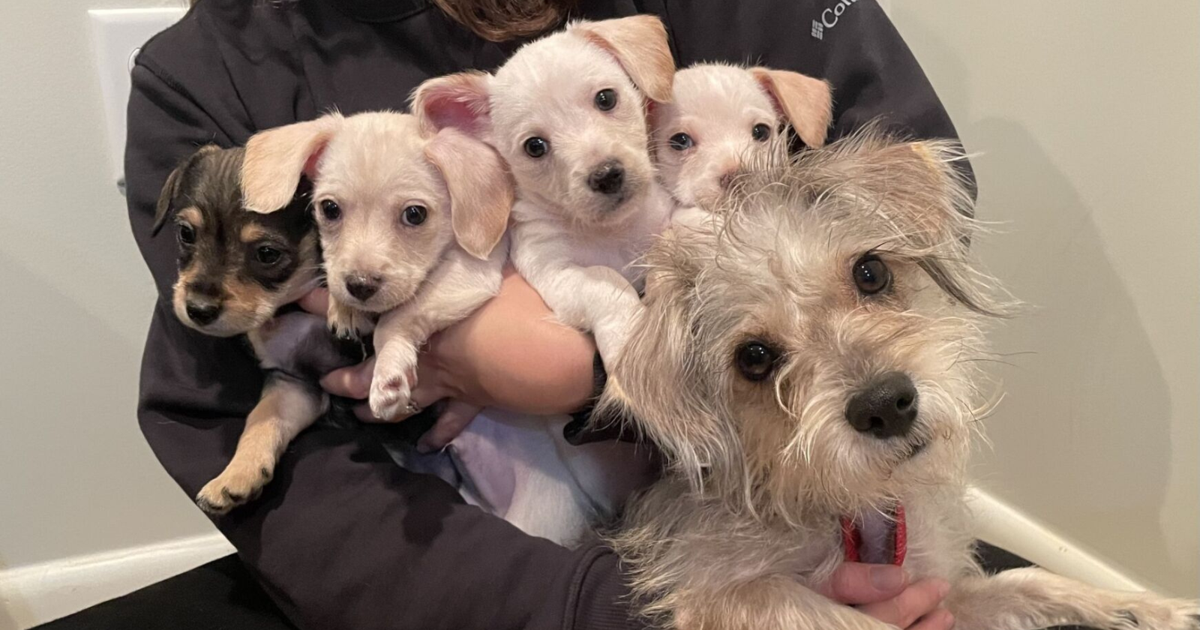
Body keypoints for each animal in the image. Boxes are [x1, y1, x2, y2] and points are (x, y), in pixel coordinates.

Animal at [152, 145, 355, 513]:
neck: (292, 307)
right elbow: (262, 419)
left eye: (267, 254)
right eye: (186, 233)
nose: (198, 310)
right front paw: (235, 476)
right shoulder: (294, 383)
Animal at [241, 109, 508, 420]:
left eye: (415, 214)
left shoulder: (470, 272)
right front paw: (346, 309)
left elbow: (395, 320)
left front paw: (389, 371)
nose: (360, 286)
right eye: (329, 208)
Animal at [410, 13, 676, 369]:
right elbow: (606, 282)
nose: (607, 176)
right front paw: (626, 339)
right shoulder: (555, 273)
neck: (611, 232)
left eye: (606, 98)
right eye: (535, 147)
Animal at [600, 130, 1200, 624]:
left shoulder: (943, 591)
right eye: (754, 357)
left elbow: (1029, 580)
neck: (857, 515)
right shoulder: (725, 596)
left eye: (871, 271)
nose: (885, 405)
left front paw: (1148, 608)